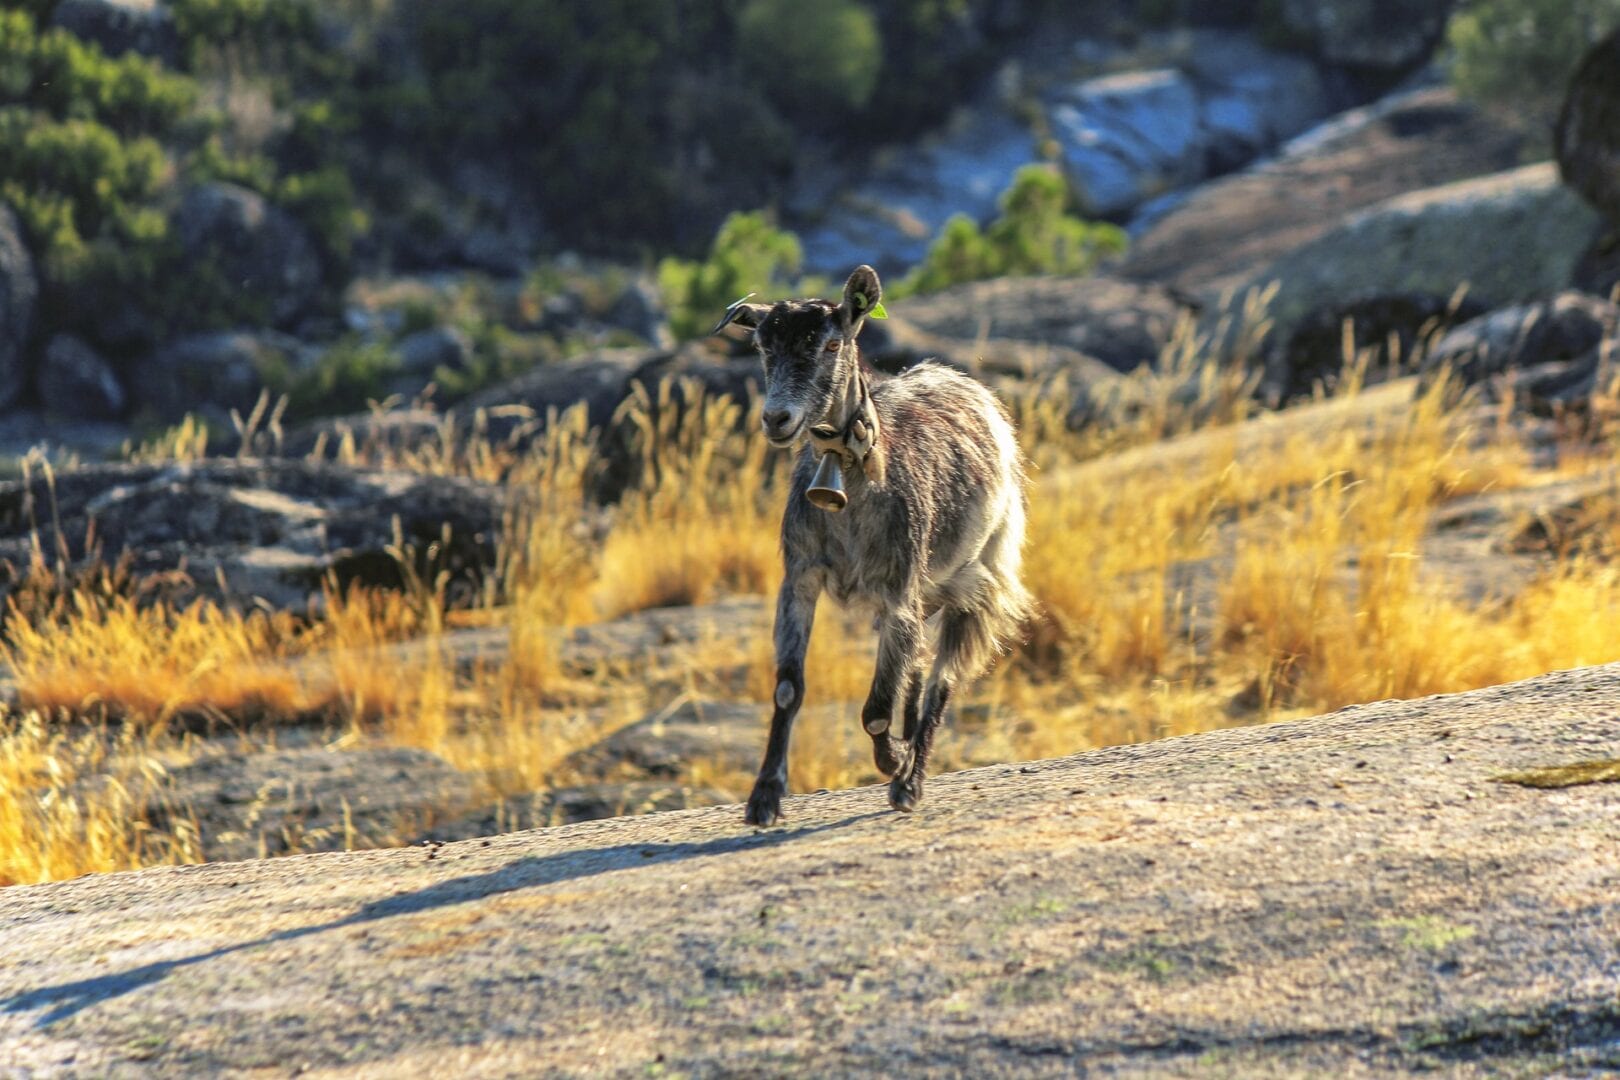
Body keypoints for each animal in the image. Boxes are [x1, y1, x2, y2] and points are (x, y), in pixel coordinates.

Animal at [712, 265, 1036, 822]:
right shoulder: (800, 581)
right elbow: (788, 689)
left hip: (980, 575)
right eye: (761, 346)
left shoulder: (898, 589)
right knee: (919, 664)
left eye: (831, 343)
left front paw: (894, 760)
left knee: (941, 678)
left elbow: (876, 710)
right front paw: (765, 797)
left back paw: (909, 780)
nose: (776, 419)